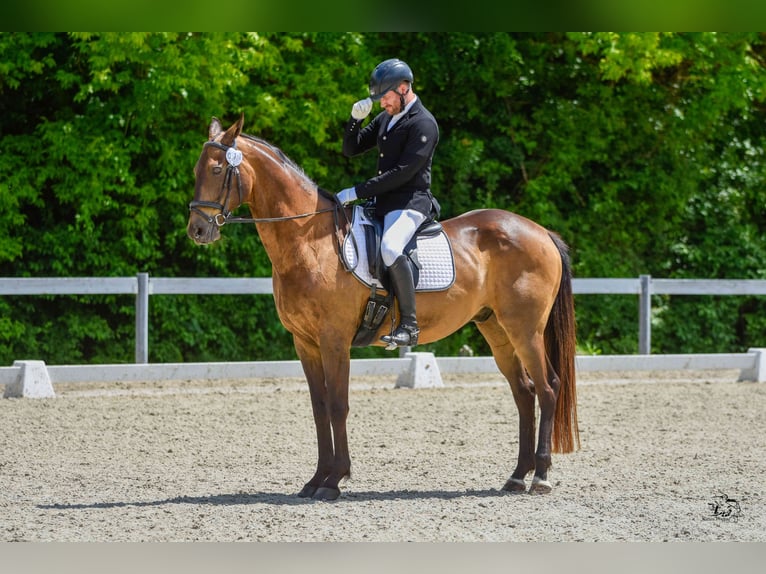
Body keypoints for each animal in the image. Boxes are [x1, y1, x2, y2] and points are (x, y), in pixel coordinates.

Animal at [188, 115, 584, 502]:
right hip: (497, 330)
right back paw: (517, 477)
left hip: (526, 330)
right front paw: (315, 480)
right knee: (524, 393)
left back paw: (541, 477)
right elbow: (319, 408)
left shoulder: (334, 341)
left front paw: (334, 481)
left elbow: (338, 405)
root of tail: (541, 232)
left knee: (548, 388)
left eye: (219, 169)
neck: (309, 241)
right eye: (197, 169)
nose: (197, 231)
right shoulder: (305, 343)